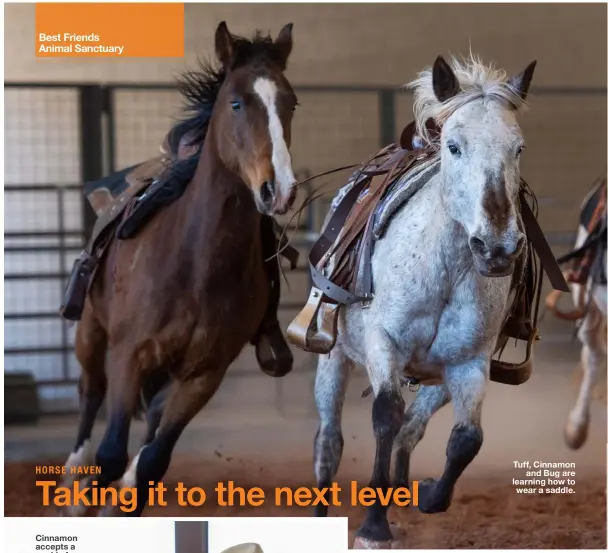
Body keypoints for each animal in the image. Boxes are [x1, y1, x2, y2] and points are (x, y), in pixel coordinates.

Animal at [60, 20, 298, 512]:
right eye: (236, 102)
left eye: (291, 103)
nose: (279, 189)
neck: (197, 266)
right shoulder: (128, 353)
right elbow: (111, 454)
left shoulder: (204, 374)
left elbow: (151, 462)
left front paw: (123, 499)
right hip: (90, 332)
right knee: (89, 394)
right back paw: (72, 485)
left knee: (149, 423)